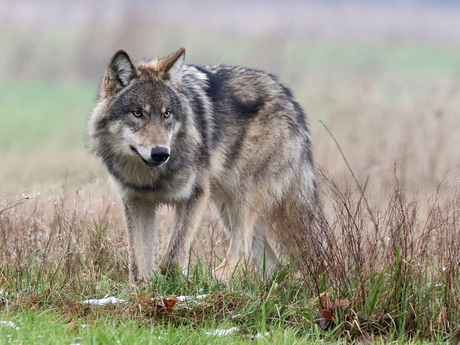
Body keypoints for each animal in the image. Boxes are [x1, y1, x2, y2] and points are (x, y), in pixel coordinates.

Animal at [86, 47, 318, 282]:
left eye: (167, 114)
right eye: (137, 113)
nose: (161, 154)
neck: (151, 177)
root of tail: (289, 98)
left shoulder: (194, 195)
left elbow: (171, 258)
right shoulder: (137, 202)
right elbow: (137, 268)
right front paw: (144, 288)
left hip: (240, 198)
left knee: (242, 251)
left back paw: (213, 280)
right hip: (224, 205)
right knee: (271, 263)